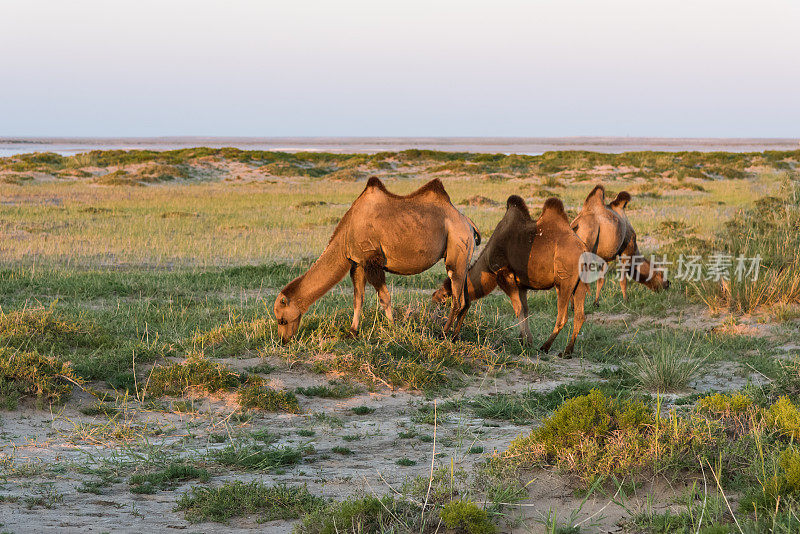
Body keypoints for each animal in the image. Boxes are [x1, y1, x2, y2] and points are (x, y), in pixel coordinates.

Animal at [276, 176, 478, 344]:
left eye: (282, 319)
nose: (283, 340)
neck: (346, 234)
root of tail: (468, 222)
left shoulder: (372, 261)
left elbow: (384, 298)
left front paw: (393, 328)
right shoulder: (357, 263)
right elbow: (358, 299)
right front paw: (352, 332)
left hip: (457, 248)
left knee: (458, 299)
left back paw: (443, 333)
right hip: (463, 258)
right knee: (466, 300)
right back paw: (455, 336)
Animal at [432, 196, 588, 356]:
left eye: (442, 299)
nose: (452, 337)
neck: (486, 262)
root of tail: (583, 248)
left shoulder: (504, 275)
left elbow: (518, 309)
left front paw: (524, 342)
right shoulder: (522, 285)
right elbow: (525, 310)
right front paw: (526, 340)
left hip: (564, 283)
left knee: (563, 316)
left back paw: (545, 347)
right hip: (580, 285)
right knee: (580, 315)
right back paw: (567, 351)